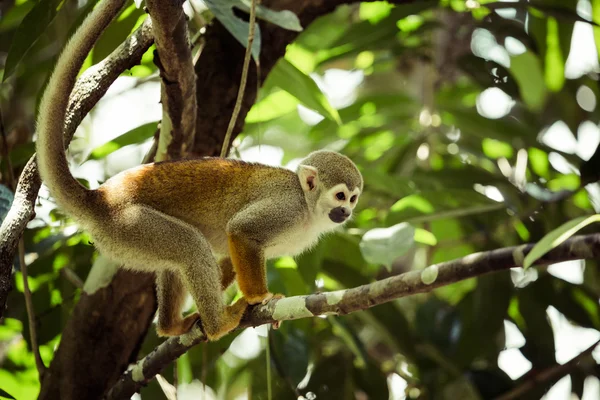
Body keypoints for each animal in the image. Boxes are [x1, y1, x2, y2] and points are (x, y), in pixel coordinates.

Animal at [35, 0, 364, 340]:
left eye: (353, 199)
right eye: (340, 196)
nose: (346, 212)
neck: (309, 211)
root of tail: (99, 197)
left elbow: (231, 255)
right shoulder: (287, 207)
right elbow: (241, 230)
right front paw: (258, 297)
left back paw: (171, 325)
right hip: (127, 223)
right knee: (190, 246)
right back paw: (219, 323)